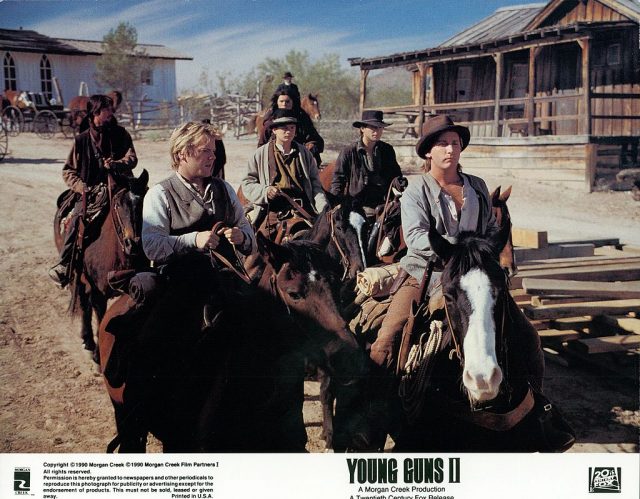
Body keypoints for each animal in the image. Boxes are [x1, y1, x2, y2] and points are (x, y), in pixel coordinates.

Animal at [54, 170, 149, 362]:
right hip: (78, 277)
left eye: (143, 202)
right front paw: (99, 355)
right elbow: (100, 319)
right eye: (118, 205)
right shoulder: (99, 294)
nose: (133, 243)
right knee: (83, 303)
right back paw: (88, 340)